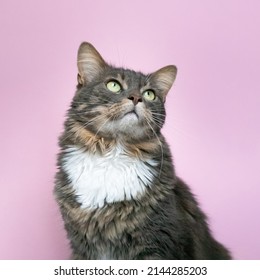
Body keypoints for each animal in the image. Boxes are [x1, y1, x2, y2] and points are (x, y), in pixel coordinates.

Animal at [53, 41, 231, 260]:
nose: (136, 97)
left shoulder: (157, 242)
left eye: (149, 94)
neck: (113, 151)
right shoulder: (81, 246)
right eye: (113, 85)